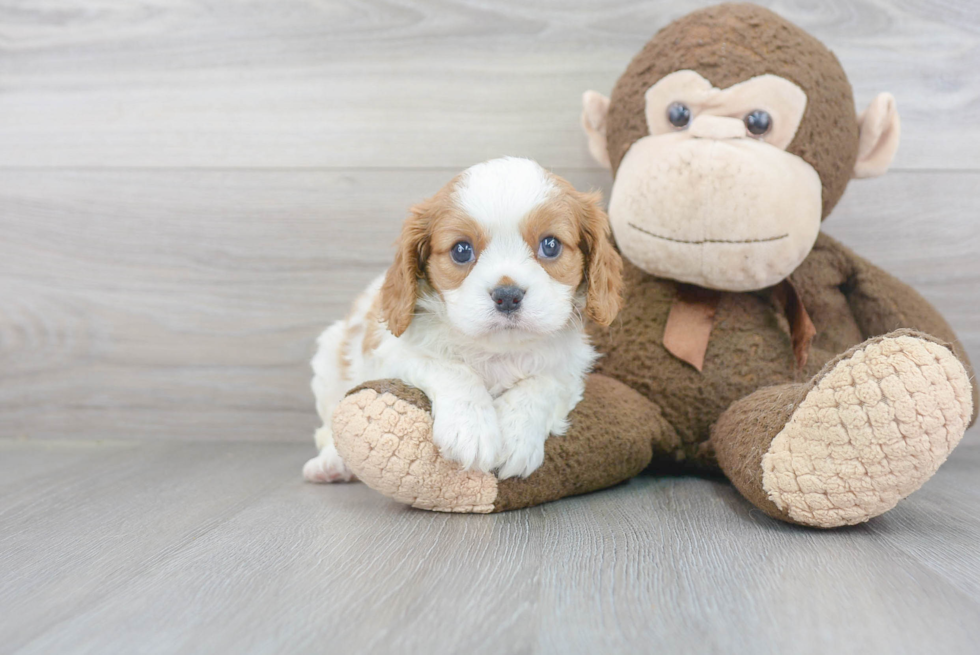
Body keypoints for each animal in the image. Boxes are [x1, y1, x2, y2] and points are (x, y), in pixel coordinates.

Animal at [304, 157, 620, 484]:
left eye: (551, 245)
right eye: (461, 250)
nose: (507, 295)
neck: (499, 351)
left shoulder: (568, 370)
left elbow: (543, 384)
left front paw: (517, 434)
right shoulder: (395, 355)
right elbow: (452, 369)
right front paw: (471, 429)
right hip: (329, 365)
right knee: (328, 428)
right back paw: (331, 464)